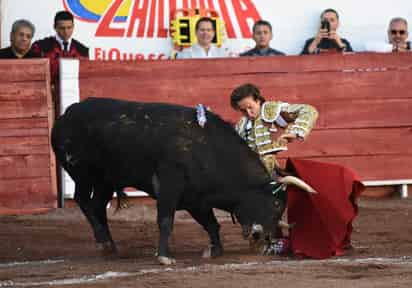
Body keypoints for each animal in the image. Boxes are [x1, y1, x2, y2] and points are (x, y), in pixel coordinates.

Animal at [51, 98, 308, 264]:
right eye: (276, 203)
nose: (263, 238)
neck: (208, 149)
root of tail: (66, 114)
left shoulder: (196, 198)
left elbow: (211, 223)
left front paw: (214, 250)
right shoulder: (169, 187)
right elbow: (166, 220)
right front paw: (164, 256)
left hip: (106, 179)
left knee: (96, 206)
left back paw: (109, 246)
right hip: (82, 174)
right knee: (82, 200)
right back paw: (103, 241)